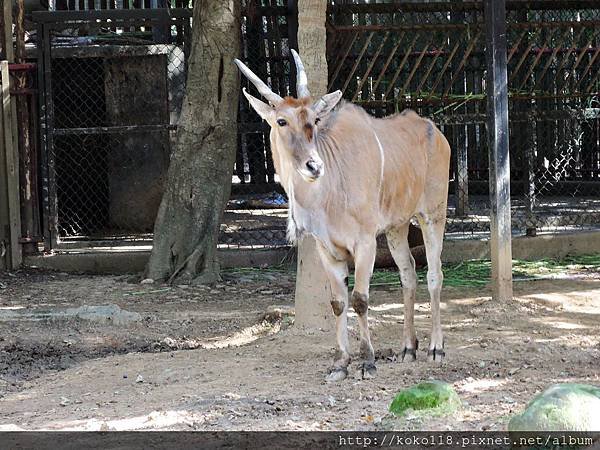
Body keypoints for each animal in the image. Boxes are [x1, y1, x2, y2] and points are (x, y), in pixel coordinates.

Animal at [234, 51, 450, 382]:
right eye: (281, 120)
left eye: (314, 120)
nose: (314, 166)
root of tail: (436, 133)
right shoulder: (328, 251)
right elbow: (338, 303)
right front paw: (340, 364)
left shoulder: (365, 244)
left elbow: (360, 300)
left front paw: (368, 362)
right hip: (397, 227)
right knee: (409, 274)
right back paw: (407, 348)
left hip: (433, 215)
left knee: (434, 273)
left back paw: (435, 348)